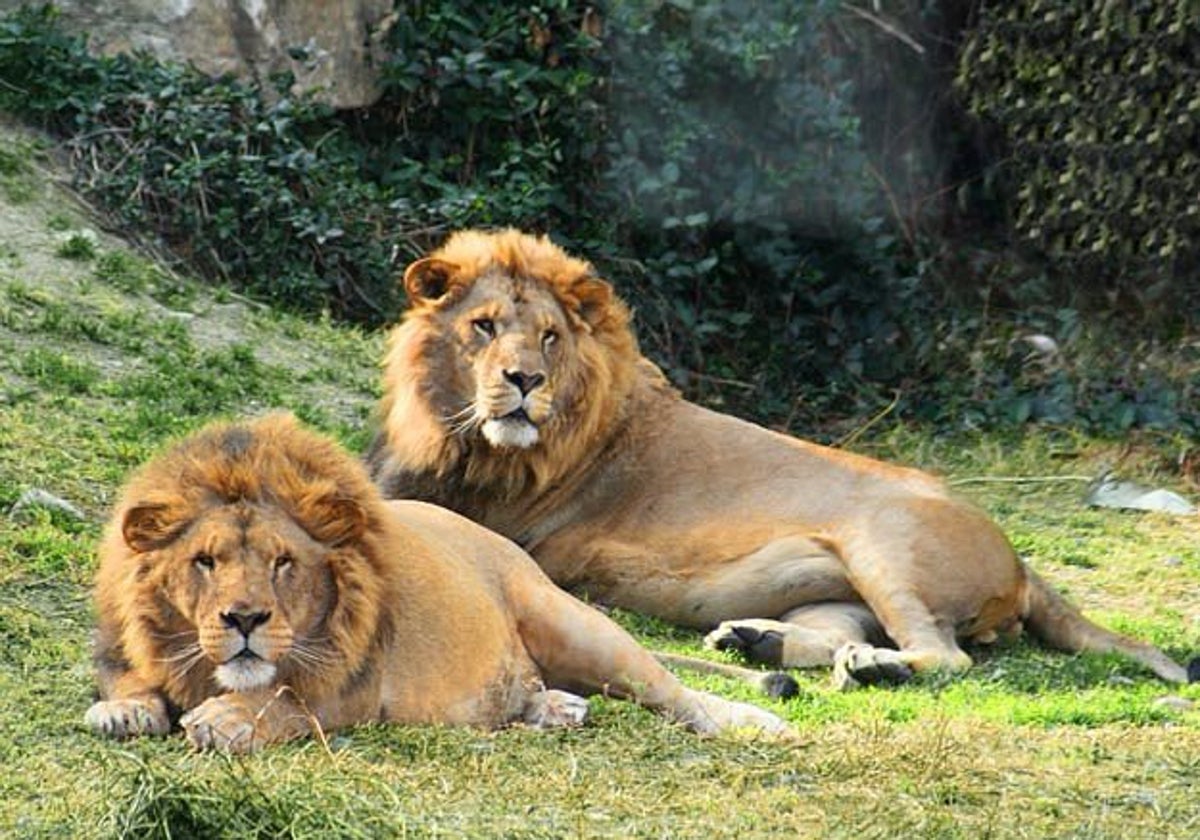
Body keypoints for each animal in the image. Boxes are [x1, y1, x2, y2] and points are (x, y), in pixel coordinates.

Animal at [84, 417, 787, 753]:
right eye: (205, 561)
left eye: (284, 562)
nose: (245, 620)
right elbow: (128, 679)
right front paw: (125, 709)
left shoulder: (358, 685)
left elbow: (287, 699)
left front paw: (225, 719)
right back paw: (553, 708)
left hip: (575, 625)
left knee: (673, 691)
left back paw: (756, 722)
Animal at [364, 228, 1190, 691]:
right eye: (483, 326)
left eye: (549, 338)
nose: (524, 381)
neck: (455, 432)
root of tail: (1021, 559)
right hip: (837, 588)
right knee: (846, 633)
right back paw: (758, 641)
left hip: (885, 545)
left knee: (944, 656)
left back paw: (873, 669)